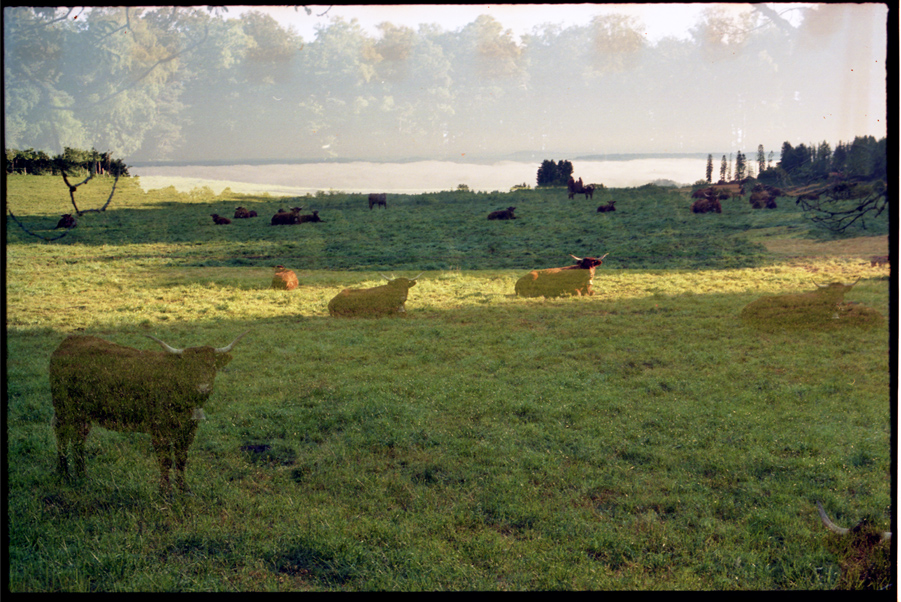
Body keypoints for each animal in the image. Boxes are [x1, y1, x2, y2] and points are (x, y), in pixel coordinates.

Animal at [52, 328, 250, 492]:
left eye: (212, 366)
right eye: (188, 367)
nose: (203, 388)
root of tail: (68, 341)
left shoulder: (188, 430)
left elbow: (181, 459)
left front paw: (183, 489)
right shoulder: (158, 430)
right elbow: (165, 460)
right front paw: (165, 492)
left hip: (82, 414)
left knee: (78, 440)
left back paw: (82, 477)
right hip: (63, 408)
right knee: (62, 437)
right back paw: (63, 475)